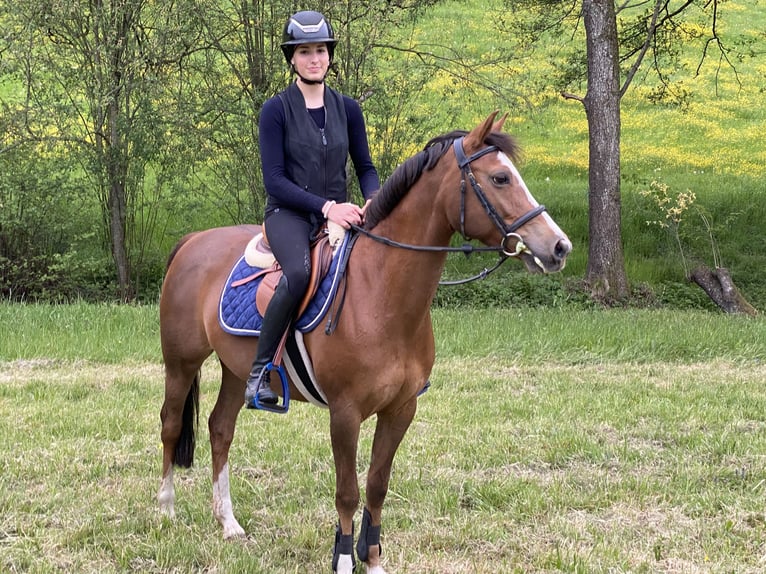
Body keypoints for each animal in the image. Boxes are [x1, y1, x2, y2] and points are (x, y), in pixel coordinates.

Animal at [157, 111, 571, 573]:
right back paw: (166, 509)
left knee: (220, 429)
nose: (559, 246)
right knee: (171, 424)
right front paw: (342, 559)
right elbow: (348, 492)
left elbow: (376, 487)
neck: (380, 292)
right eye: (500, 178)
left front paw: (372, 560)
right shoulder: (345, 414)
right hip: (181, 362)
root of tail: (193, 241)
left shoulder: (400, 410)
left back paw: (228, 523)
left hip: (235, 369)